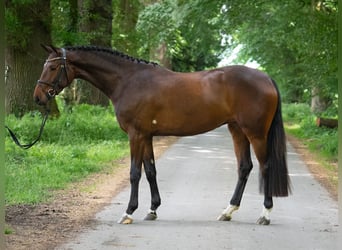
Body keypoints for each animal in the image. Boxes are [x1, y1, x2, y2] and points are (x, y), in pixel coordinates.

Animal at [34, 44, 290, 225]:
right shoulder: (146, 136)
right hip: (237, 130)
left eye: (53, 67)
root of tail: (265, 77)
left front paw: (128, 212)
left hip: (256, 133)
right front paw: (152, 210)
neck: (128, 80)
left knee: (265, 166)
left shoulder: (136, 135)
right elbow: (150, 171)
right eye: (45, 65)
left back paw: (265, 215)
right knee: (244, 167)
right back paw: (228, 211)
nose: (38, 97)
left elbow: (134, 173)